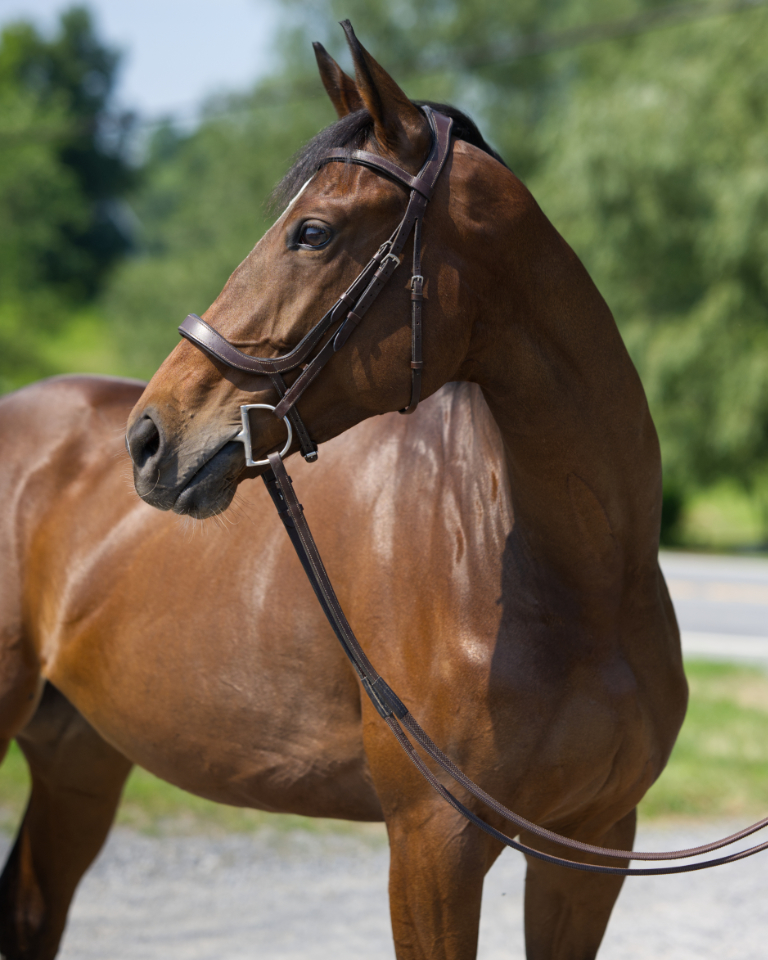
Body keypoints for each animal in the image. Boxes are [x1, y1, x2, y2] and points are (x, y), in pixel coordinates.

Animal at [0, 22, 687, 960]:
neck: (581, 585)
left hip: (78, 759)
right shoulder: (433, 847)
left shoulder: (592, 850)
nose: (148, 439)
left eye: (314, 233)